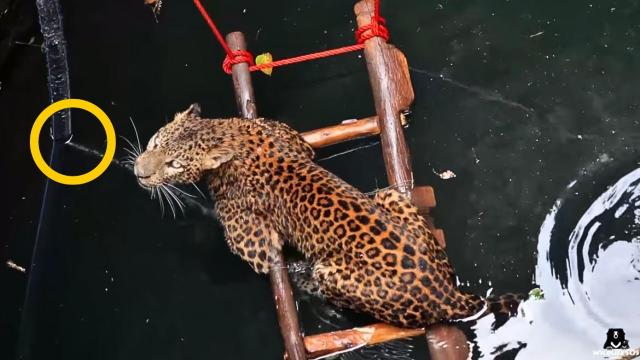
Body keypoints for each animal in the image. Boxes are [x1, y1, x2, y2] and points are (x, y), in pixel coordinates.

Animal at [132, 104, 516, 330]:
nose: (139, 172)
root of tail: (449, 293)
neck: (229, 135)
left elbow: (259, 252)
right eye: (155, 143)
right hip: (389, 195)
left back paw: (303, 276)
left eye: (174, 164)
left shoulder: (252, 242)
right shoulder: (289, 135)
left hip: (333, 274)